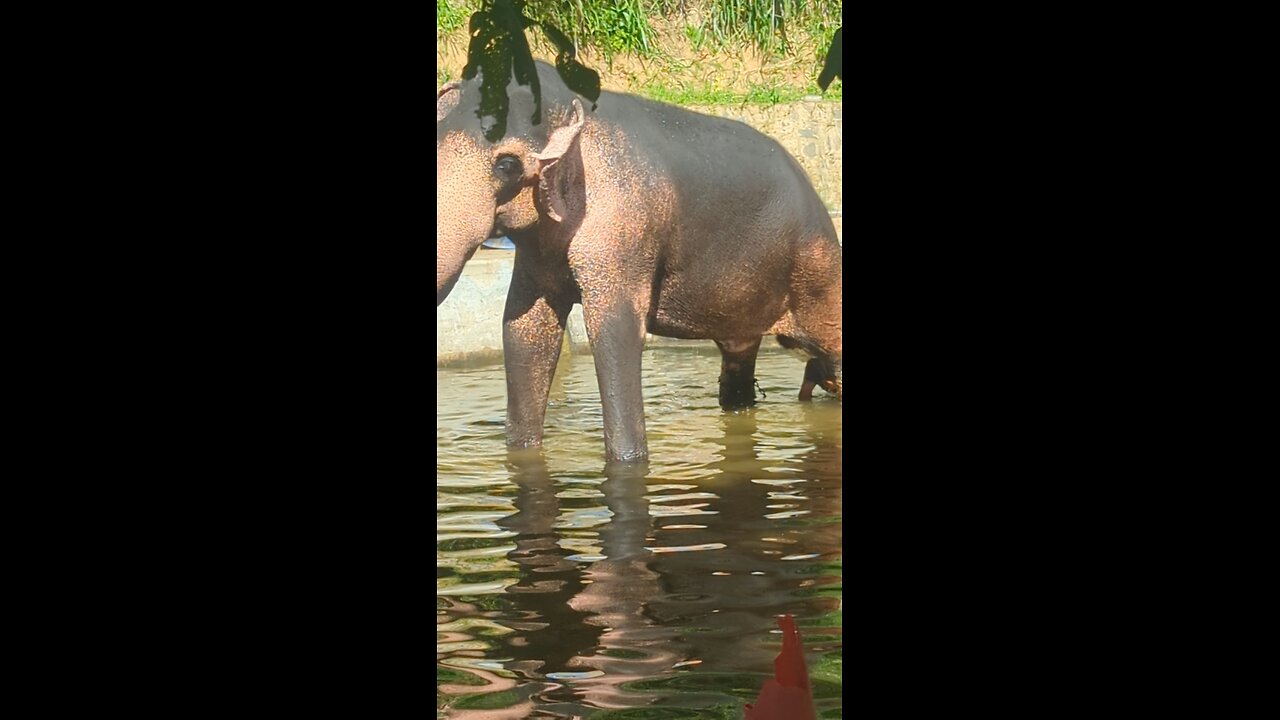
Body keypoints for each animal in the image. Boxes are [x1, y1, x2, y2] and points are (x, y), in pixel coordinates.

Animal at [440, 64, 839, 461]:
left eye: (507, 165)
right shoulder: (538, 251)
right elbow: (523, 329)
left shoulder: (624, 224)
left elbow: (614, 331)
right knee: (740, 362)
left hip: (817, 267)